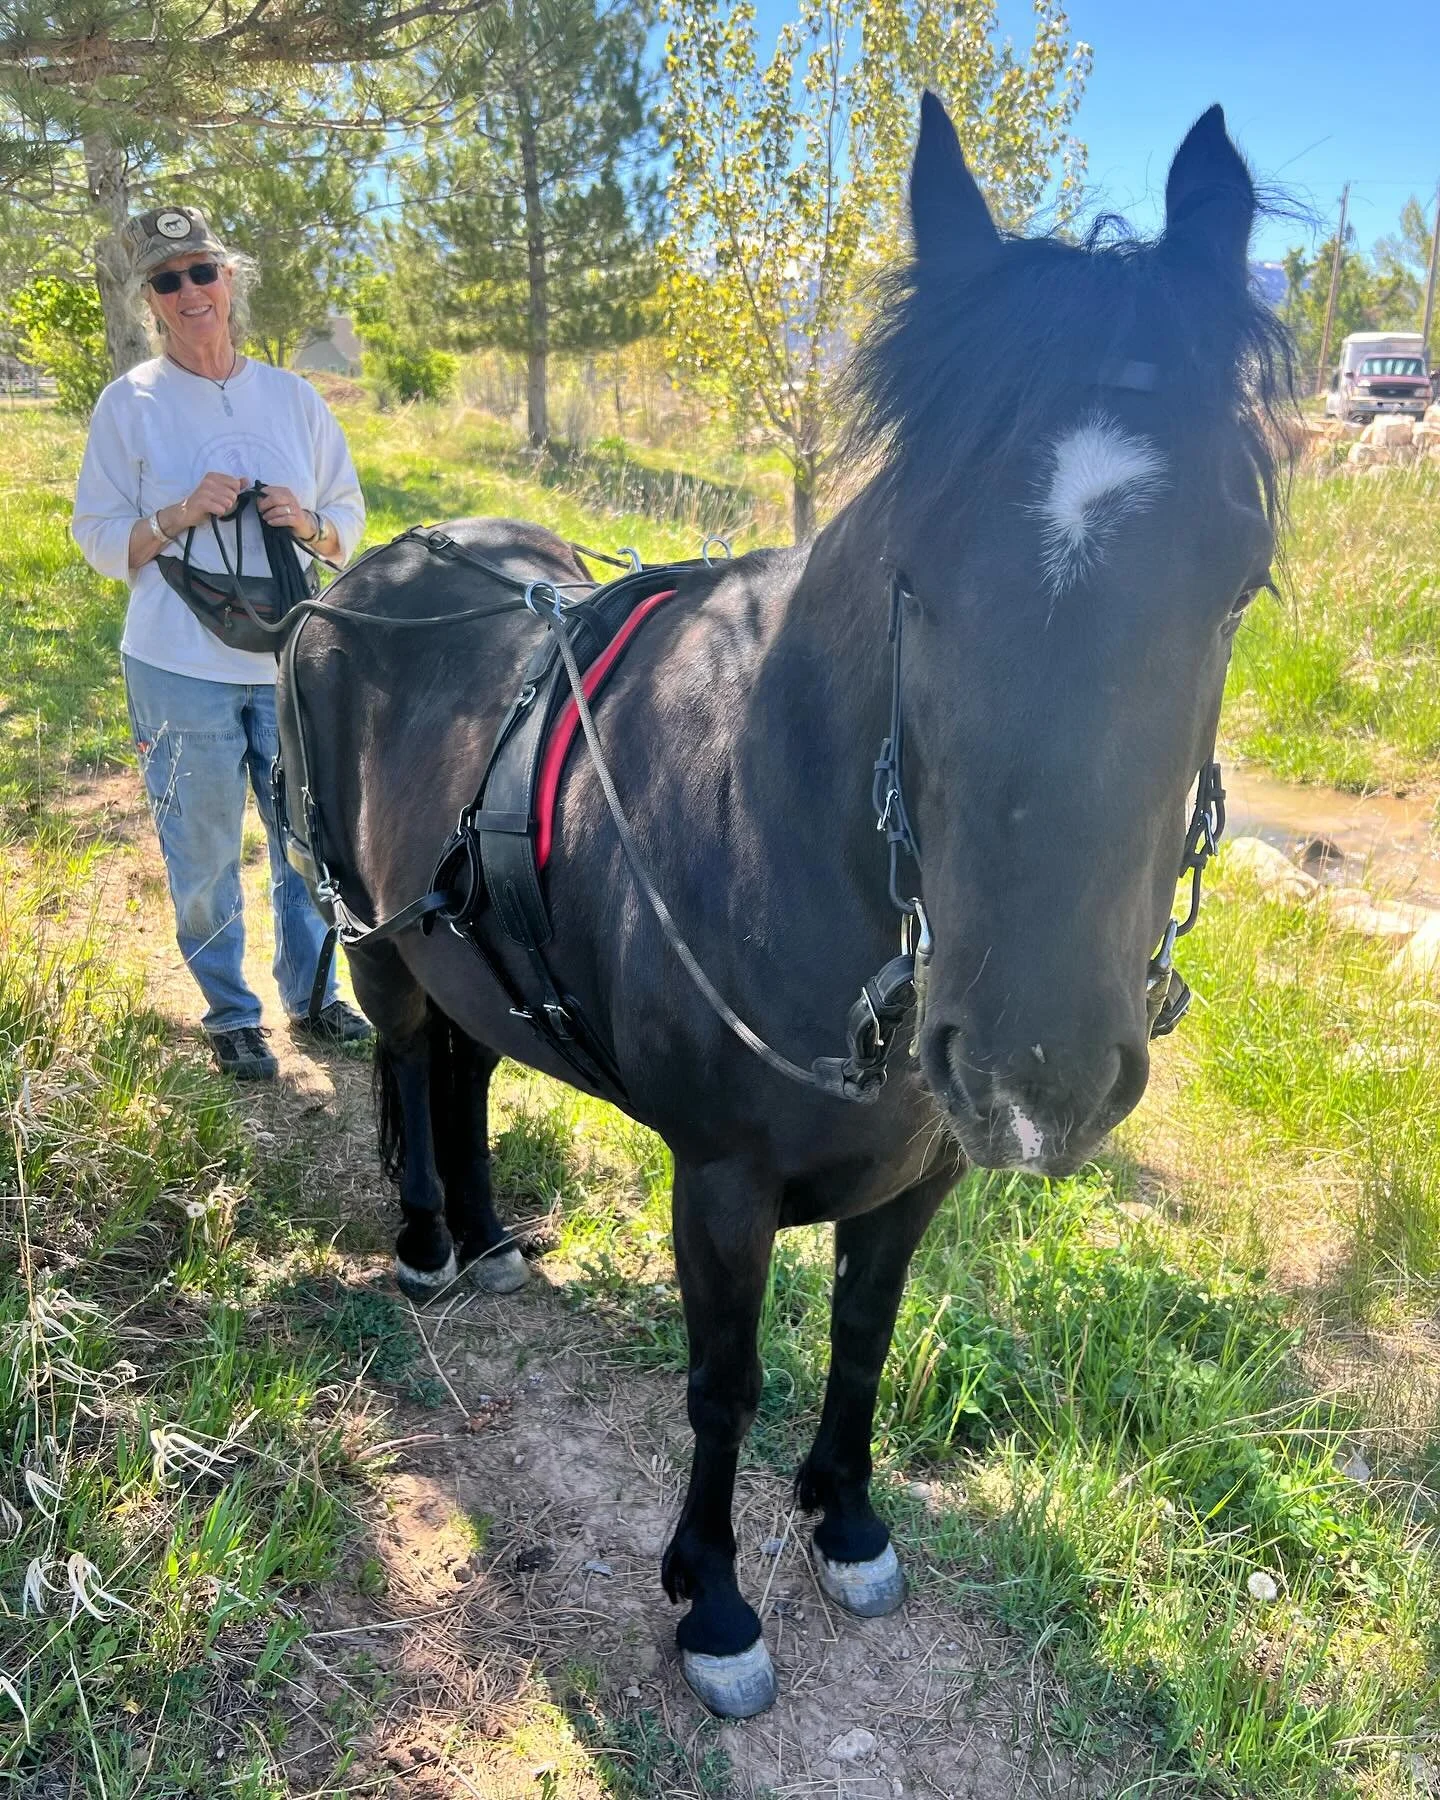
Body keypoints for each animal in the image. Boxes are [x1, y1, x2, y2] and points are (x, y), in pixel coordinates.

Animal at [277, 95, 1289, 1718]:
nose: (1040, 1069)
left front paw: (848, 1518)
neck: (785, 822)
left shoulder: (921, 1172)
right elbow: (724, 1380)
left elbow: (867, 1335)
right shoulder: (722, 1182)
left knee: (471, 1061)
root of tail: (370, 572)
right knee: (407, 1059)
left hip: (464, 948)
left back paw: (490, 1236)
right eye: (915, 573)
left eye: (1238, 576)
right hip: (374, 935)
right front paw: (714, 1600)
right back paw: (431, 1238)